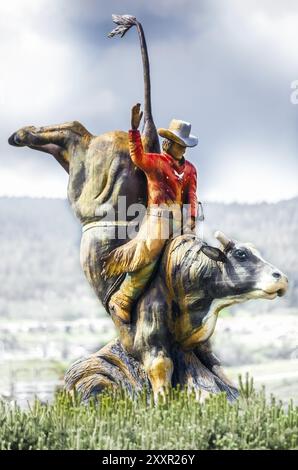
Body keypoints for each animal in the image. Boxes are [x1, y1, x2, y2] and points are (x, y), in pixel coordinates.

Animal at [7, 14, 286, 400]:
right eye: (242, 255)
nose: (281, 278)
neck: (185, 276)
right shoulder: (151, 335)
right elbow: (159, 369)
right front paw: (163, 403)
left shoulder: (199, 343)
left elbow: (215, 366)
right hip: (95, 182)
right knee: (75, 134)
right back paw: (23, 134)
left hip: (94, 165)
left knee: (76, 133)